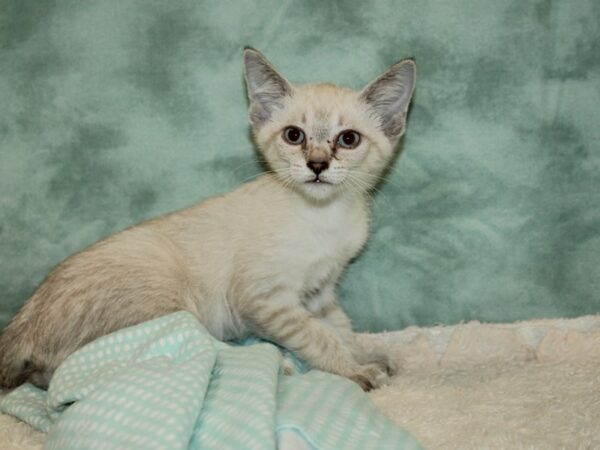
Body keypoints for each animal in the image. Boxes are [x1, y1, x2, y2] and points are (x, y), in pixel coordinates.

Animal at [0, 46, 414, 390]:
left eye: (348, 139)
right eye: (294, 136)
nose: (317, 165)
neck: (326, 216)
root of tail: (20, 323)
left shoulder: (319, 292)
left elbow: (343, 331)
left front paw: (368, 357)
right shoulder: (265, 300)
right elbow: (319, 337)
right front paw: (353, 371)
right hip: (167, 293)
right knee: (87, 366)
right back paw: (276, 364)